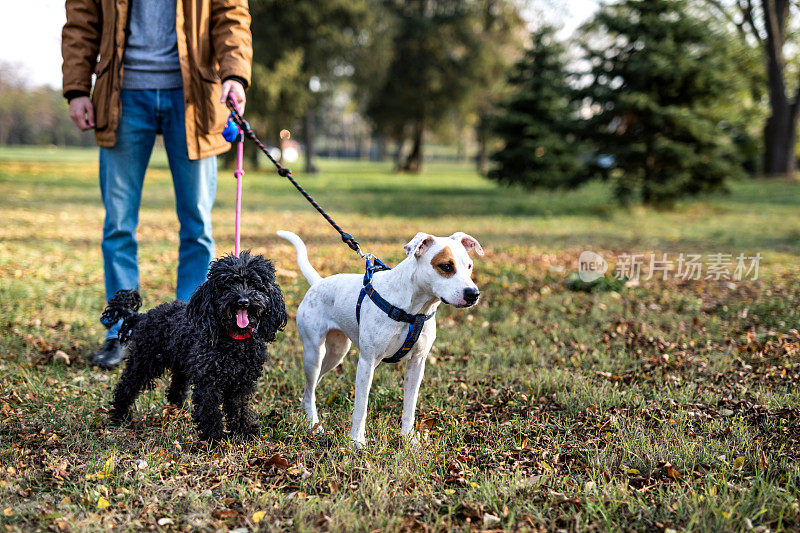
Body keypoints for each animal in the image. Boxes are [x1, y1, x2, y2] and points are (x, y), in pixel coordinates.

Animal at [101, 250, 286, 440]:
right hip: (144, 361)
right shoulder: (208, 381)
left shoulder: (242, 382)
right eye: (228, 284)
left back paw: (178, 411)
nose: (243, 301)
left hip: (180, 365)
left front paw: (244, 432)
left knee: (176, 389)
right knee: (126, 386)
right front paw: (213, 438)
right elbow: (210, 410)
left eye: (256, 284)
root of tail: (142, 316)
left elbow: (240, 407)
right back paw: (118, 416)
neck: (235, 341)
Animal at [278, 231, 484, 446]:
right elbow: (361, 407)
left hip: (336, 353)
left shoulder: (417, 364)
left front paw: (409, 439)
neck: (413, 310)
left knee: (310, 388)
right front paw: (357, 441)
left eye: (469, 266)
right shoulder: (367, 363)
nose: (473, 294)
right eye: (446, 266)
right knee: (310, 388)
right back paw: (313, 423)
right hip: (314, 353)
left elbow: (409, 407)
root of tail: (318, 282)